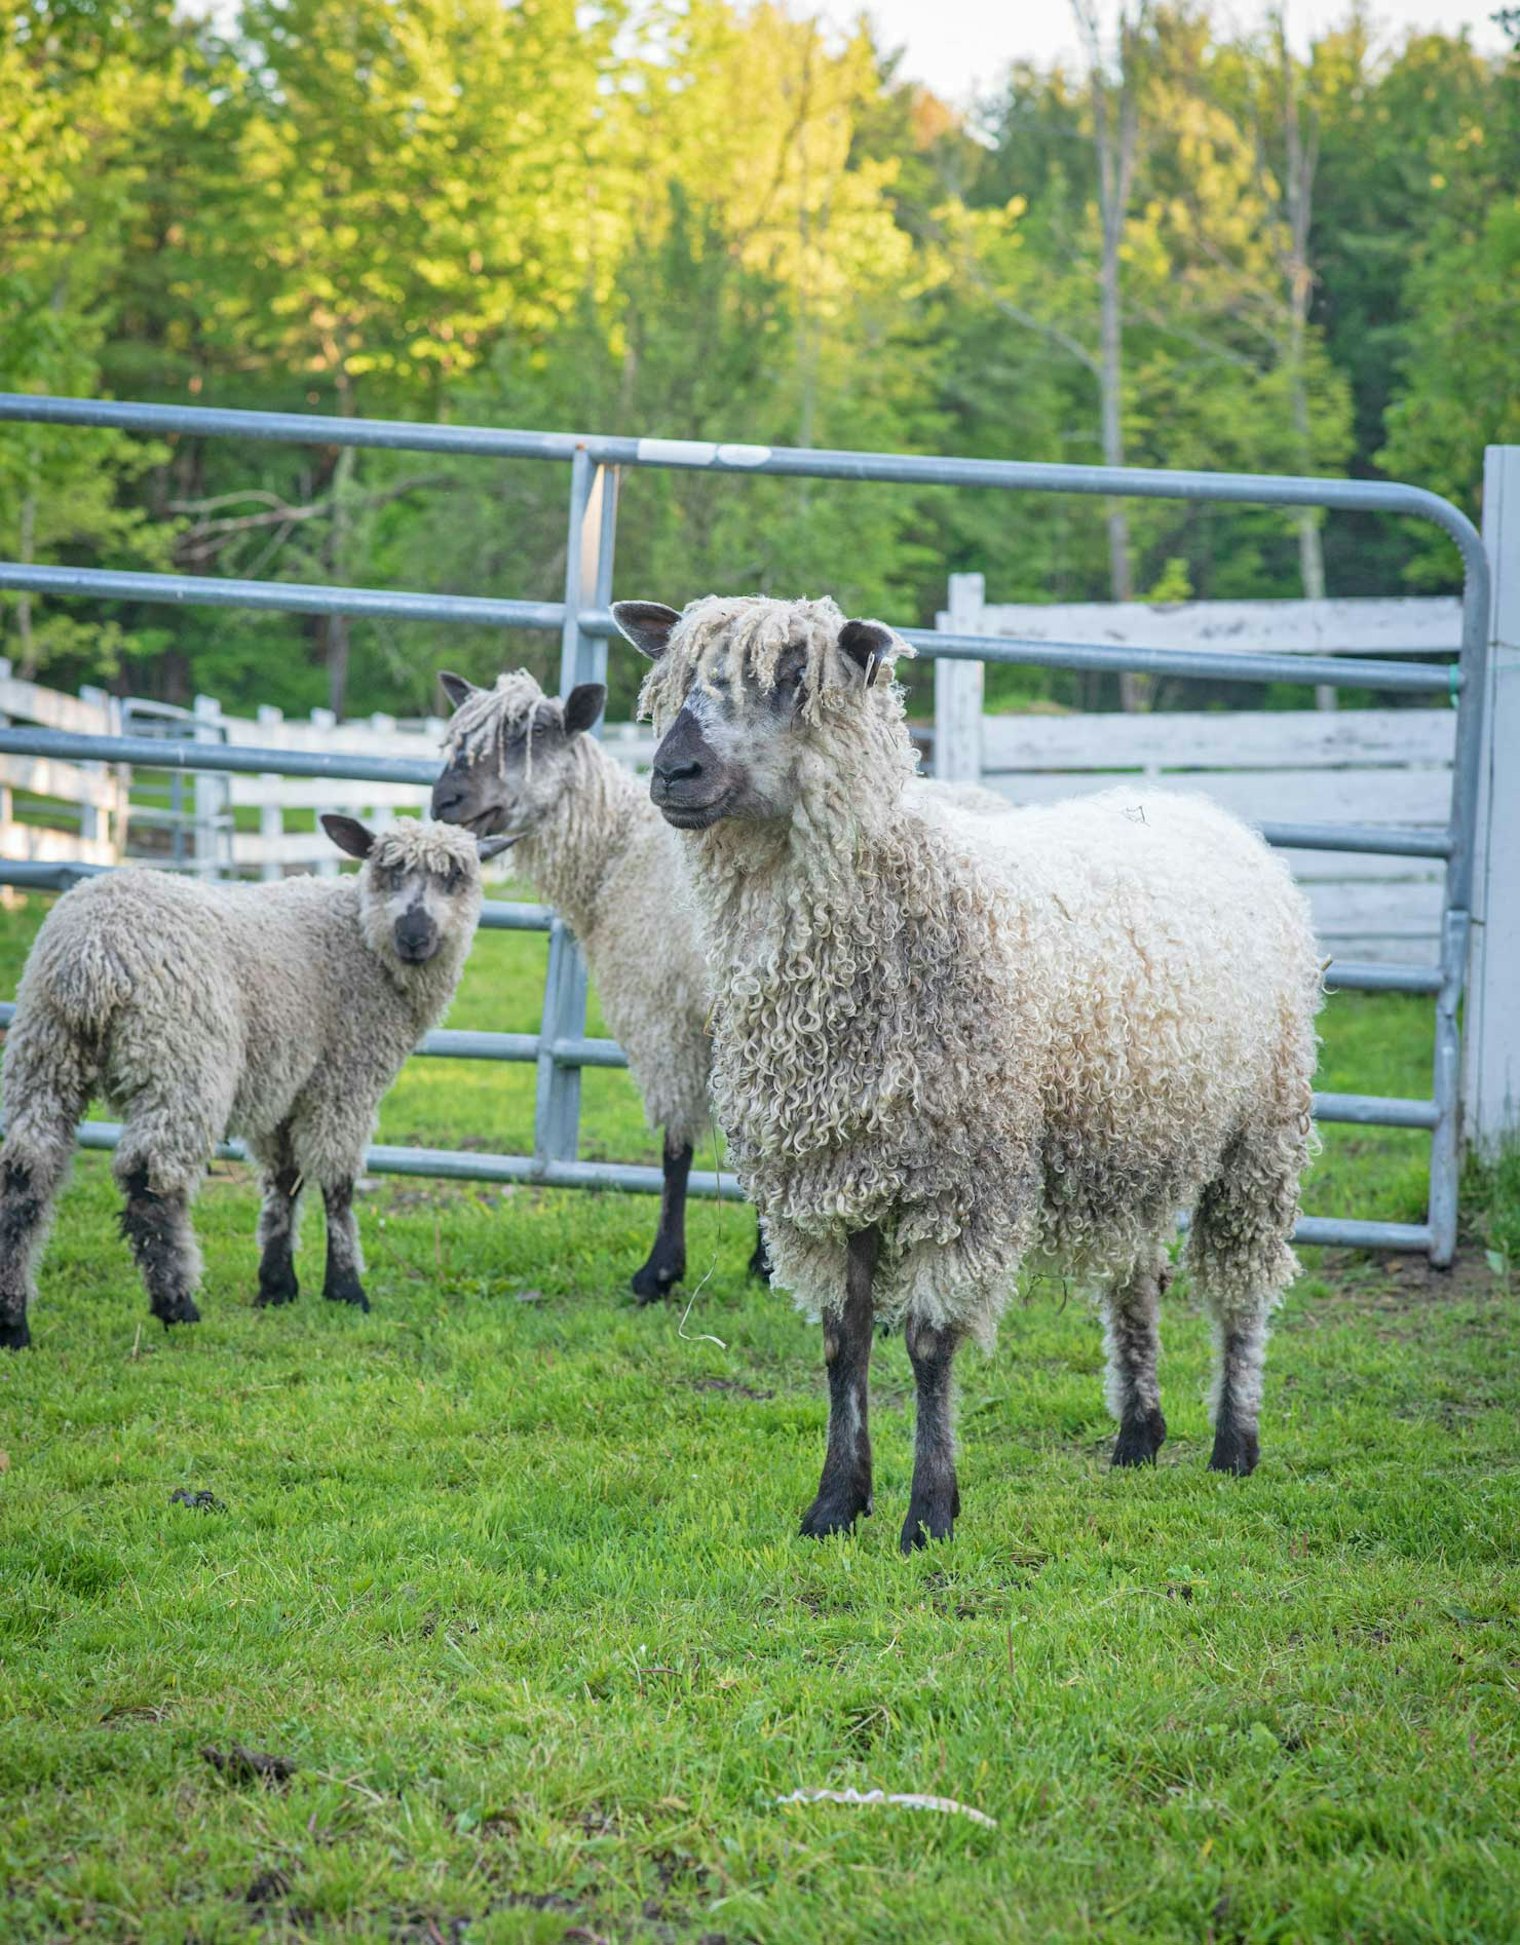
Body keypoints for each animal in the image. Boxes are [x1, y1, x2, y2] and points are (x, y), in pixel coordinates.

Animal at [0, 816, 507, 1346]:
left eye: (456, 876)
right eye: (387, 870)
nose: (413, 935)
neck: (360, 940)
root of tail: (91, 954)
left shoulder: (285, 1083)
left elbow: (284, 1179)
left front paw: (277, 1285)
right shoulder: (345, 1079)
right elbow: (338, 1184)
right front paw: (346, 1288)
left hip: (44, 1050)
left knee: (27, 1174)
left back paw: (13, 1322)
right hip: (180, 1059)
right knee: (150, 1182)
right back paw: (176, 1304)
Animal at [612, 594, 1322, 1552]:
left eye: (796, 677)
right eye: (677, 678)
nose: (671, 771)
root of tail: (1208, 811)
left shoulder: (959, 1180)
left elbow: (927, 1345)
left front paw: (928, 1512)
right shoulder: (831, 1178)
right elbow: (842, 1342)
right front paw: (835, 1502)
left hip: (1262, 1126)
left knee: (1242, 1285)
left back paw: (1234, 1444)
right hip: (1138, 1128)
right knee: (1138, 1279)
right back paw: (1138, 1433)